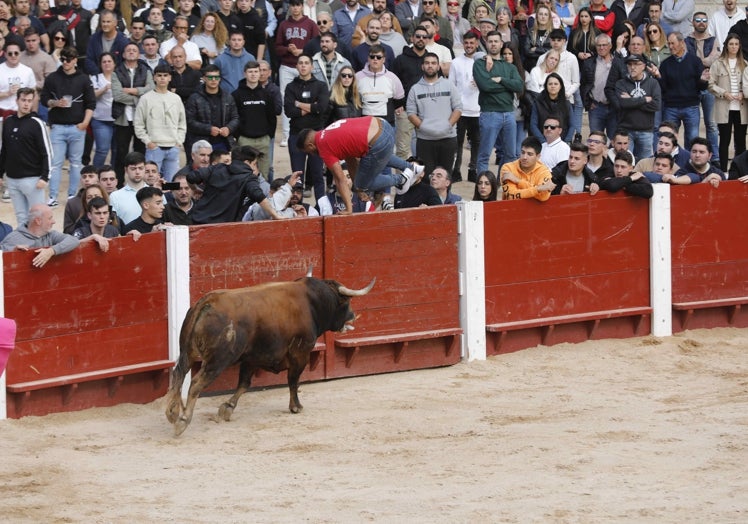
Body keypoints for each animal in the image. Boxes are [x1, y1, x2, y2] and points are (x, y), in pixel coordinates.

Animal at [164, 276, 374, 436]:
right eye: (346, 302)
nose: (353, 315)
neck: (312, 302)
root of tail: (207, 302)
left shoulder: (251, 358)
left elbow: (244, 384)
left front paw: (227, 408)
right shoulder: (301, 353)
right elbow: (293, 381)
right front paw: (296, 406)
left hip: (187, 353)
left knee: (178, 374)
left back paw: (172, 413)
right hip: (218, 360)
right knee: (195, 383)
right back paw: (183, 420)